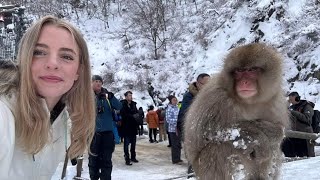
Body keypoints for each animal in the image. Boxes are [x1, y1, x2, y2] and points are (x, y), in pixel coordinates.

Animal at [182, 43, 290, 179]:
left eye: (252, 70)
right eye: (239, 71)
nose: (244, 82)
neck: (249, 102)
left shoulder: (276, 102)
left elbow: (280, 131)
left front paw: (272, 130)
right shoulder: (215, 98)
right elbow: (210, 132)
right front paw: (259, 138)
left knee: (274, 147)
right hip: (203, 167)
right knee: (219, 148)